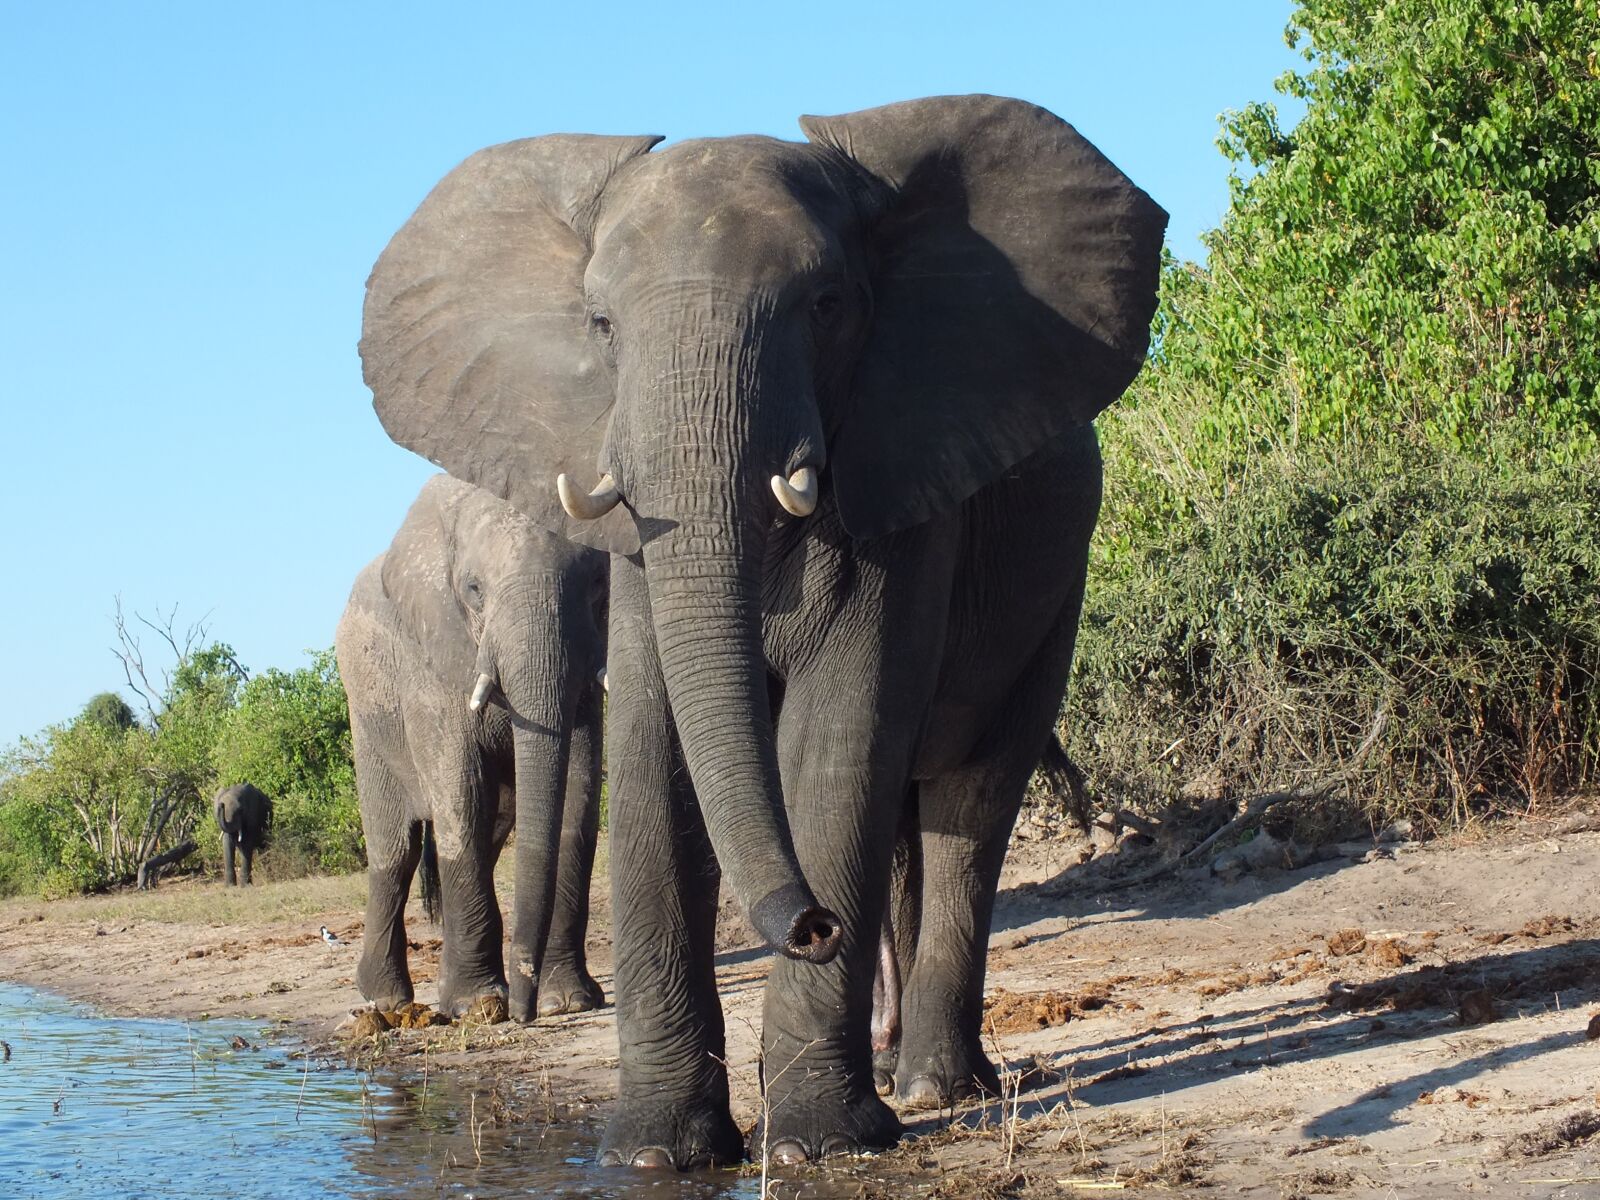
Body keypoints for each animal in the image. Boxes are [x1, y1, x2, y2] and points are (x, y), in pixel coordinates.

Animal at [334, 476, 608, 1024]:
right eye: (474, 590)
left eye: (596, 583)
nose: (525, 1014)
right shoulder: (428, 663)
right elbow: (459, 792)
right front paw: (476, 1006)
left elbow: (579, 792)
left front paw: (568, 1001)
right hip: (367, 716)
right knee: (396, 850)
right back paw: (386, 1000)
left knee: (490, 833)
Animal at [363, 96, 1164, 1177]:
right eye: (603, 325)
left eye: (827, 305)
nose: (814, 925)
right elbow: (655, 749)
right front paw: (655, 1156)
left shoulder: (900, 475)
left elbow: (837, 740)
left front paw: (820, 1146)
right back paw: (897, 1064)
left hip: (1055, 589)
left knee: (967, 806)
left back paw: (933, 1086)